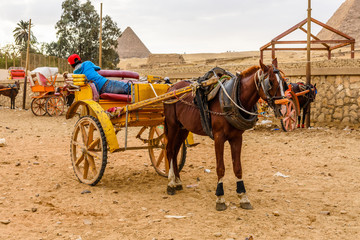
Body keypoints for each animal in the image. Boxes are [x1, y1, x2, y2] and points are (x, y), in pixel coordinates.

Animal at [164, 59, 286, 211]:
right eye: (270, 81)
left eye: (283, 82)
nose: (283, 108)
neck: (232, 98)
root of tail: (171, 88)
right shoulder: (218, 138)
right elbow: (220, 168)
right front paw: (220, 198)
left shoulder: (237, 138)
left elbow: (238, 167)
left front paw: (243, 196)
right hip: (172, 125)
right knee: (169, 150)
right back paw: (170, 184)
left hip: (183, 128)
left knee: (175, 151)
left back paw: (178, 181)